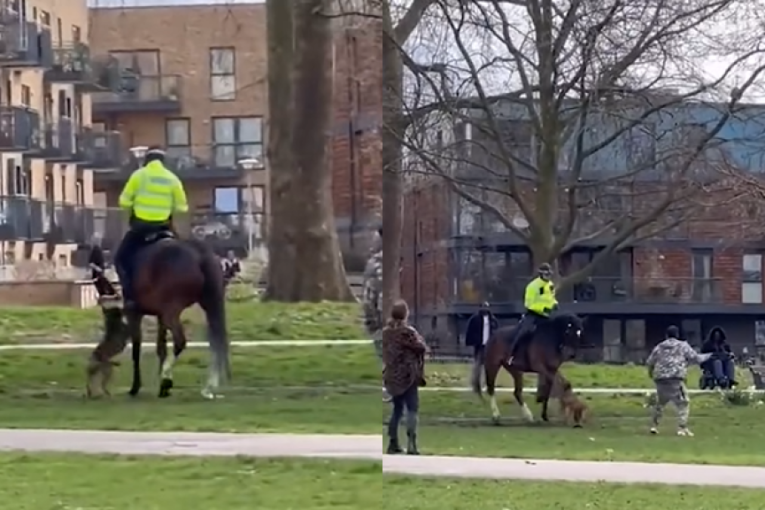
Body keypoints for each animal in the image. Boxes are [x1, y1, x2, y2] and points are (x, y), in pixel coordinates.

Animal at [89, 234, 230, 398]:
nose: (98, 354)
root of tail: (199, 255)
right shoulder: (160, 315)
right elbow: (160, 348)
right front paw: (162, 388)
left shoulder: (135, 314)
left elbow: (136, 349)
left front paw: (136, 387)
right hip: (209, 305)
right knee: (216, 341)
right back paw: (208, 387)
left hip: (172, 311)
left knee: (181, 341)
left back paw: (167, 376)